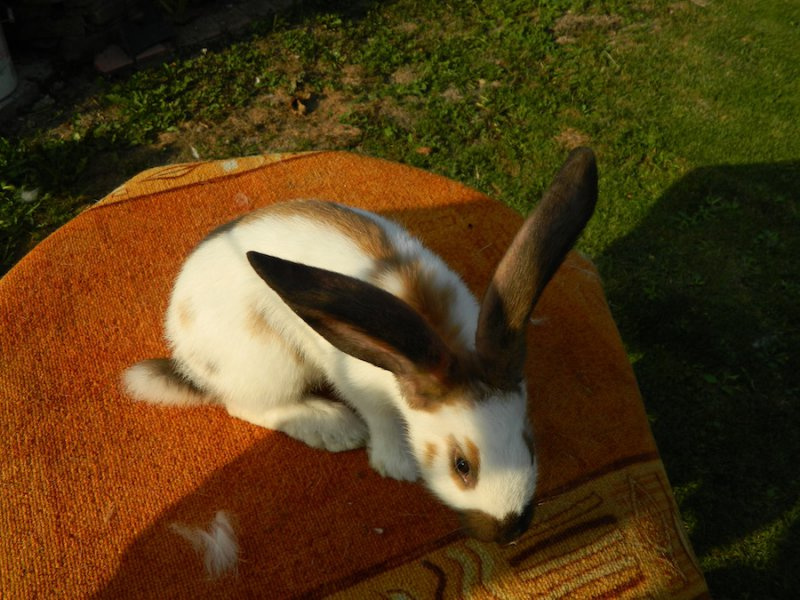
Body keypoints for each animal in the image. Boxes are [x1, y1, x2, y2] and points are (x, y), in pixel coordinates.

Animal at [123, 147, 597, 544]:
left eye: (529, 444)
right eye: (462, 466)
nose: (509, 533)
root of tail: (184, 354)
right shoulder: (360, 384)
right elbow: (380, 419)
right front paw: (398, 465)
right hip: (269, 365)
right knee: (245, 407)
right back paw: (334, 426)